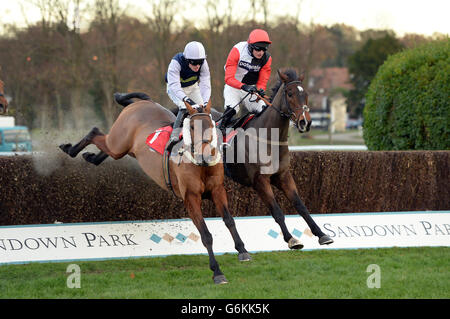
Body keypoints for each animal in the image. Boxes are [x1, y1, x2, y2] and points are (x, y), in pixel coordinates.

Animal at [58, 95, 250, 284]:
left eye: (210, 125)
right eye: (192, 126)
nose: (205, 155)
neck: (200, 164)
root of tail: (144, 102)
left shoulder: (217, 190)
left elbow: (229, 219)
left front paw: (242, 250)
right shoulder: (191, 198)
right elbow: (206, 235)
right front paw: (217, 272)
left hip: (123, 148)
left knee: (103, 147)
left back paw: (90, 156)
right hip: (118, 143)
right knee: (95, 131)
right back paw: (70, 149)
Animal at [216, 69, 332, 250]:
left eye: (305, 94)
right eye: (290, 93)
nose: (305, 122)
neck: (269, 138)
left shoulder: (283, 176)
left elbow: (301, 206)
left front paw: (321, 234)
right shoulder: (260, 181)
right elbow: (277, 211)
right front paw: (291, 239)